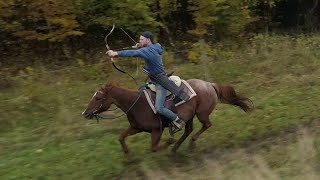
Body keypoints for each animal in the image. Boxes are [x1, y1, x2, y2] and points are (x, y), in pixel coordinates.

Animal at [82, 79, 252, 154]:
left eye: (98, 98)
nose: (85, 113)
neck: (136, 104)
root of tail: (209, 84)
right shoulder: (136, 128)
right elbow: (121, 137)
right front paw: (127, 154)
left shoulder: (157, 130)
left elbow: (154, 147)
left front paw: (168, 142)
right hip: (190, 116)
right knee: (188, 130)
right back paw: (177, 147)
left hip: (201, 113)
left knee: (206, 125)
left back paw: (188, 143)